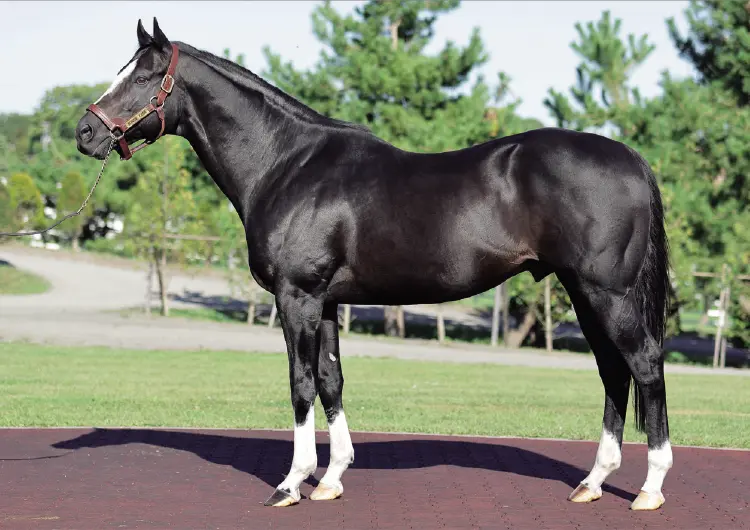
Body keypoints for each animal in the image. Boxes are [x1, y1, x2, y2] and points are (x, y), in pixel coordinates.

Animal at [75, 19, 673, 511]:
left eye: (144, 76)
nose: (85, 132)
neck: (287, 163)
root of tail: (631, 158)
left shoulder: (298, 297)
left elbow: (300, 383)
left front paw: (291, 483)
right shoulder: (327, 302)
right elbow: (331, 380)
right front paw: (331, 478)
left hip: (606, 293)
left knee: (644, 364)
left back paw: (649, 489)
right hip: (581, 292)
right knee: (613, 371)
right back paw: (593, 482)